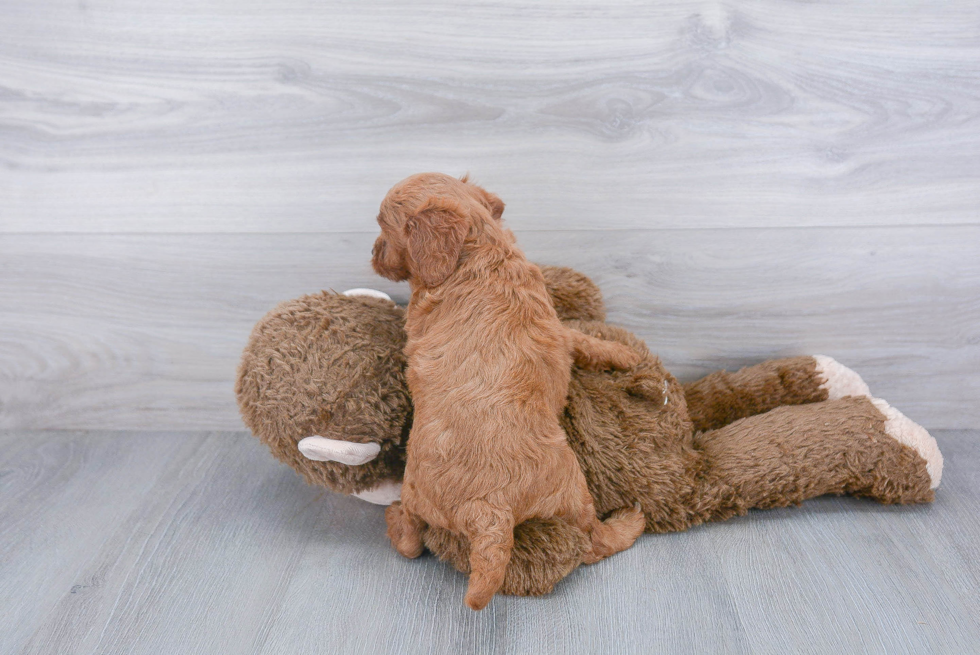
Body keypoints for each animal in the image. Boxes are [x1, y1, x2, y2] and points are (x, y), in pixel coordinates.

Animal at [372, 173, 648, 608]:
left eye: (384, 228)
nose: (373, 254)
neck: (478, 253)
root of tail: (487, 511)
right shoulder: (559, 333)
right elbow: (584, 339)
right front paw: (625, 355)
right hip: (573, 493)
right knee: (593, 543)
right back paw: (627, 523)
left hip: (417, 492)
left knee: (412, 543)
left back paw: (395, 519)